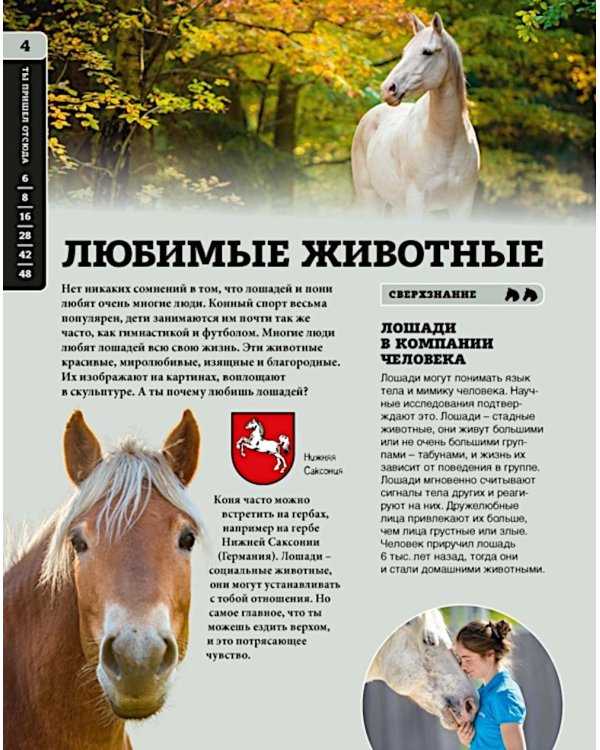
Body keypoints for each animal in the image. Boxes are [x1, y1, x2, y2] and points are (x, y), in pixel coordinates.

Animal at [352, 13, 480, 219]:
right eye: (405, 52)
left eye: (427, 52)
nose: (388, 89)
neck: (446, 141)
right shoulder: (416, 201)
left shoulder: (462, 204)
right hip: (372, 199)